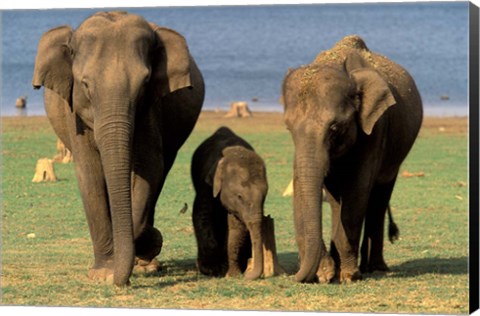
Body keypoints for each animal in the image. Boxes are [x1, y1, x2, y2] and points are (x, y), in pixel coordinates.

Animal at [31, 11, 204, 286]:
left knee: (161, 172)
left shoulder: (152, 108)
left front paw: (146, 247)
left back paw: (146, 265)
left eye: (144, 83)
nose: (118, 278)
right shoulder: (74, 115)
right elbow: (89, 173)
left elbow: (149, 167)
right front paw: (102, 273)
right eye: (85, 85)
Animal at [191, 126, 268, 278]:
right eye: (239, 196)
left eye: (264, 197)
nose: (247, 275)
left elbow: (236, 227)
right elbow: (201, 215)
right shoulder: (206, 184)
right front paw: (213, 269)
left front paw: (231, 272)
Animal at [284, 35, 422, 284]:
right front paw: (330, 273)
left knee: (378, 198)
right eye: (288, 127)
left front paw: (349, 275)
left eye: (334, 127)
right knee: (337, 200)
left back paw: (374, 268)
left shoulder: (375, 128)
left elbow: (357, 192)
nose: (298, 276)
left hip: (394, 158)